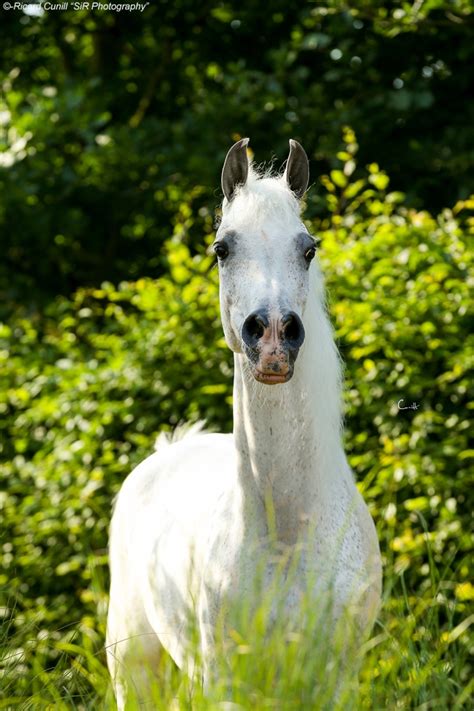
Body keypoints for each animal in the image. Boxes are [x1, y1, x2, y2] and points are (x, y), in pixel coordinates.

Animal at [106, 138, 382, 708]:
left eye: (308, 248)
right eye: (222, 249)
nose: (273, 334)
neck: (287, 536)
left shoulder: (337, 680)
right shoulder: (226, 681)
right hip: (134, 668)